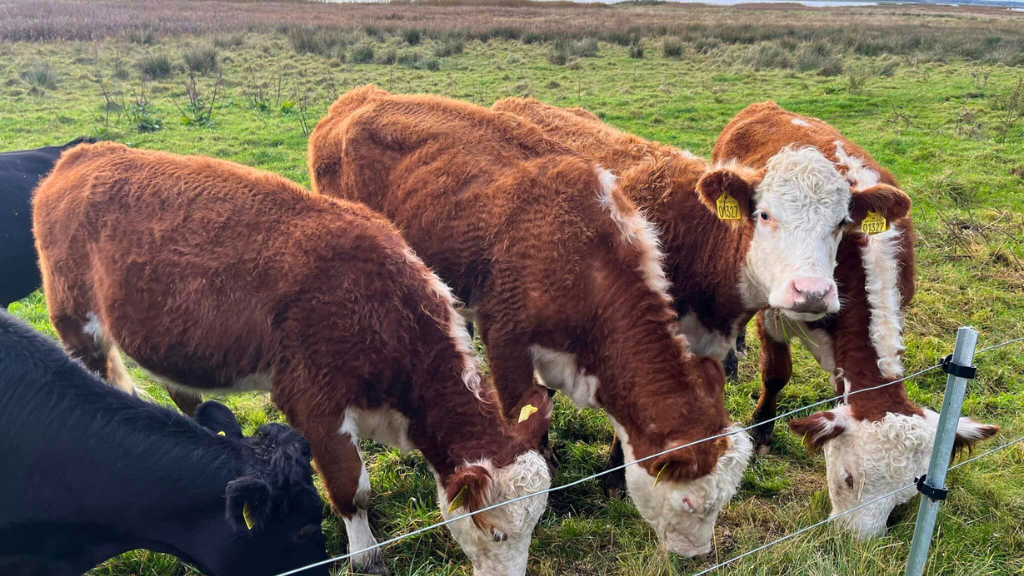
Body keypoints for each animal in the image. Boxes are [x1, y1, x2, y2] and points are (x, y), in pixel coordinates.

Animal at [308, 86, 753, 558]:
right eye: (689, 502)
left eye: (725, 499)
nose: (699, 555)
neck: (584, 257)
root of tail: (356, 97)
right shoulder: (506, 337)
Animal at [712, 101, 998, 536]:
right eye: (848, 478)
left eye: (907, 495)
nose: (856, 543)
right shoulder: (773, 311)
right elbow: (775, 375)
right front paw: (761, 431)